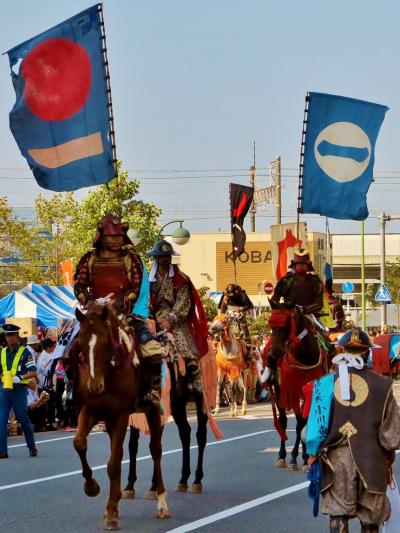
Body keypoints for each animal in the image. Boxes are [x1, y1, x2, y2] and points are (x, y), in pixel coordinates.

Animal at [72, 304, 170, 528]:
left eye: (104, 341)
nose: (94, 386)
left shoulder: (121, 415)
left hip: (152, 410)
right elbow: (80, 443)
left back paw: (161, 502)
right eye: (80, 342)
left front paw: (110, 511)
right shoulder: (91, 410)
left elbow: (114, 462)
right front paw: (92, 488)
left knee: (156, 450)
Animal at [266, 300, 328, 470]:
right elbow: (292, 421)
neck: (304, 356)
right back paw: (283, 455)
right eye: (270, 325)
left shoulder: (310, 391)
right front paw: (289, 456)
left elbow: (303, 422)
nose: (271, 357)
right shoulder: (287, 390)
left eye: (287, 323)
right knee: (283, 420)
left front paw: (302, 456)